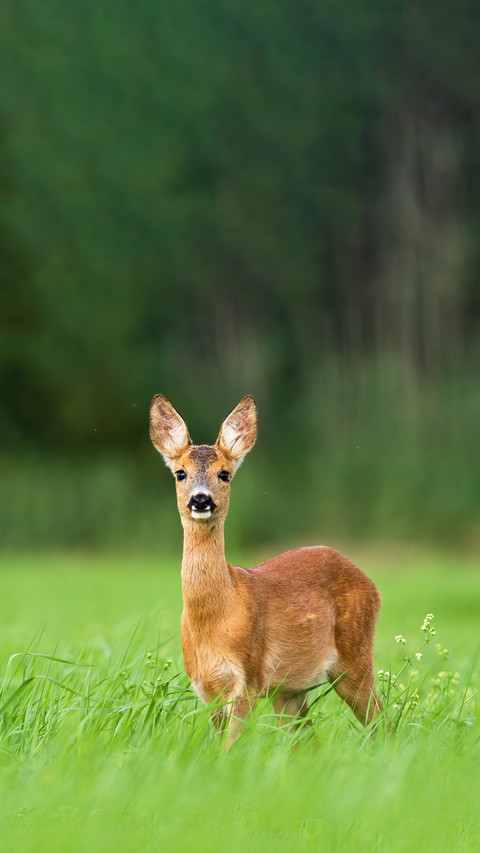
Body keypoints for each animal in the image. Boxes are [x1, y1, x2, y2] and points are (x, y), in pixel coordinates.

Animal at [149, 394, 383, 748]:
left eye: (224, 474)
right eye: (180, 473)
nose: (201, 500)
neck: (216, 617)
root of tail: (372, 585)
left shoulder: (247, 678)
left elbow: (230, 747)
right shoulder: (205, 687)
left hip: (354, 658)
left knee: (382, 720)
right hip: (291, 690)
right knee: (308, 739)